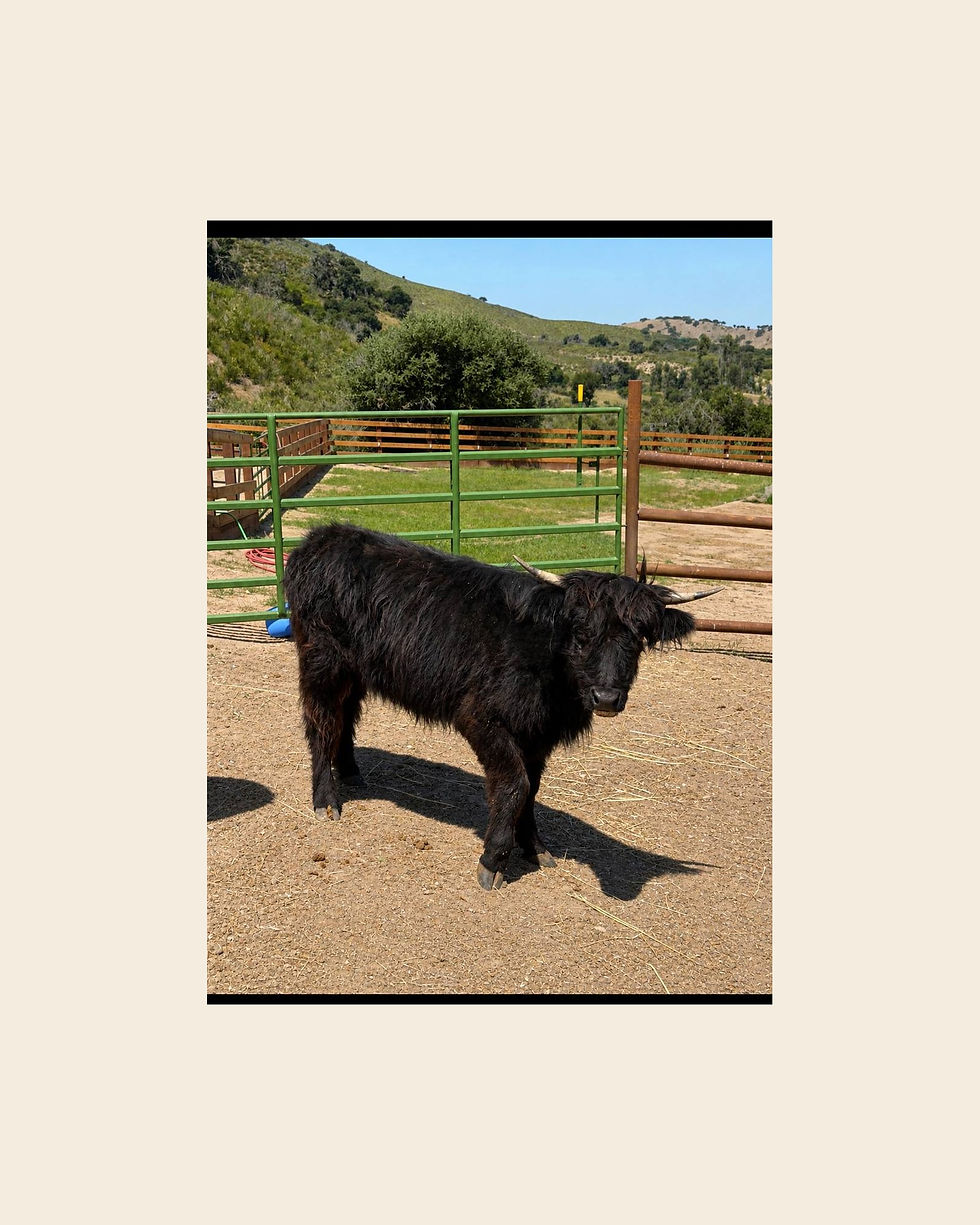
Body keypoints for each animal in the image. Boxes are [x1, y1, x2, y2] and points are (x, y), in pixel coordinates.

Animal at [283, 523, 718, 890]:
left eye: (638, 637)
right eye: (581, 633)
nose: (607, 698)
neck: (546, 659)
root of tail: (321, 537)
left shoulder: (539, 733)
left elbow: (532, 788)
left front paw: (536, 848)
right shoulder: (482, 717)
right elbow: (514, 784)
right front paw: (493, 860)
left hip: (355, 671)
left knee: (345, 718)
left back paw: (351, 773)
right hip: (322, 659)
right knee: (321, 722)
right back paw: (326, 800)